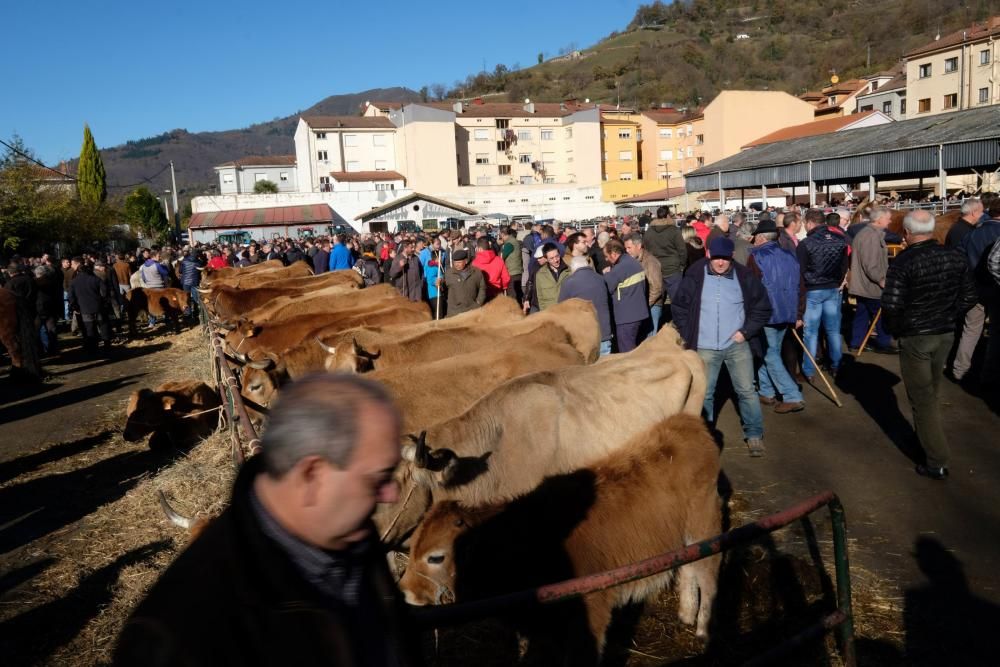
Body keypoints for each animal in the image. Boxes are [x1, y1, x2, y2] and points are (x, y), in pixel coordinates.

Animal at [402, 414, 724, 660]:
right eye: (412, 547)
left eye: (436, 557)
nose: (406, 593)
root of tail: (688, 423)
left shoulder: (592, 609)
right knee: (688, 568)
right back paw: (685, 613)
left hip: (705, 525)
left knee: (708, 573)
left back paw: (703, 630)